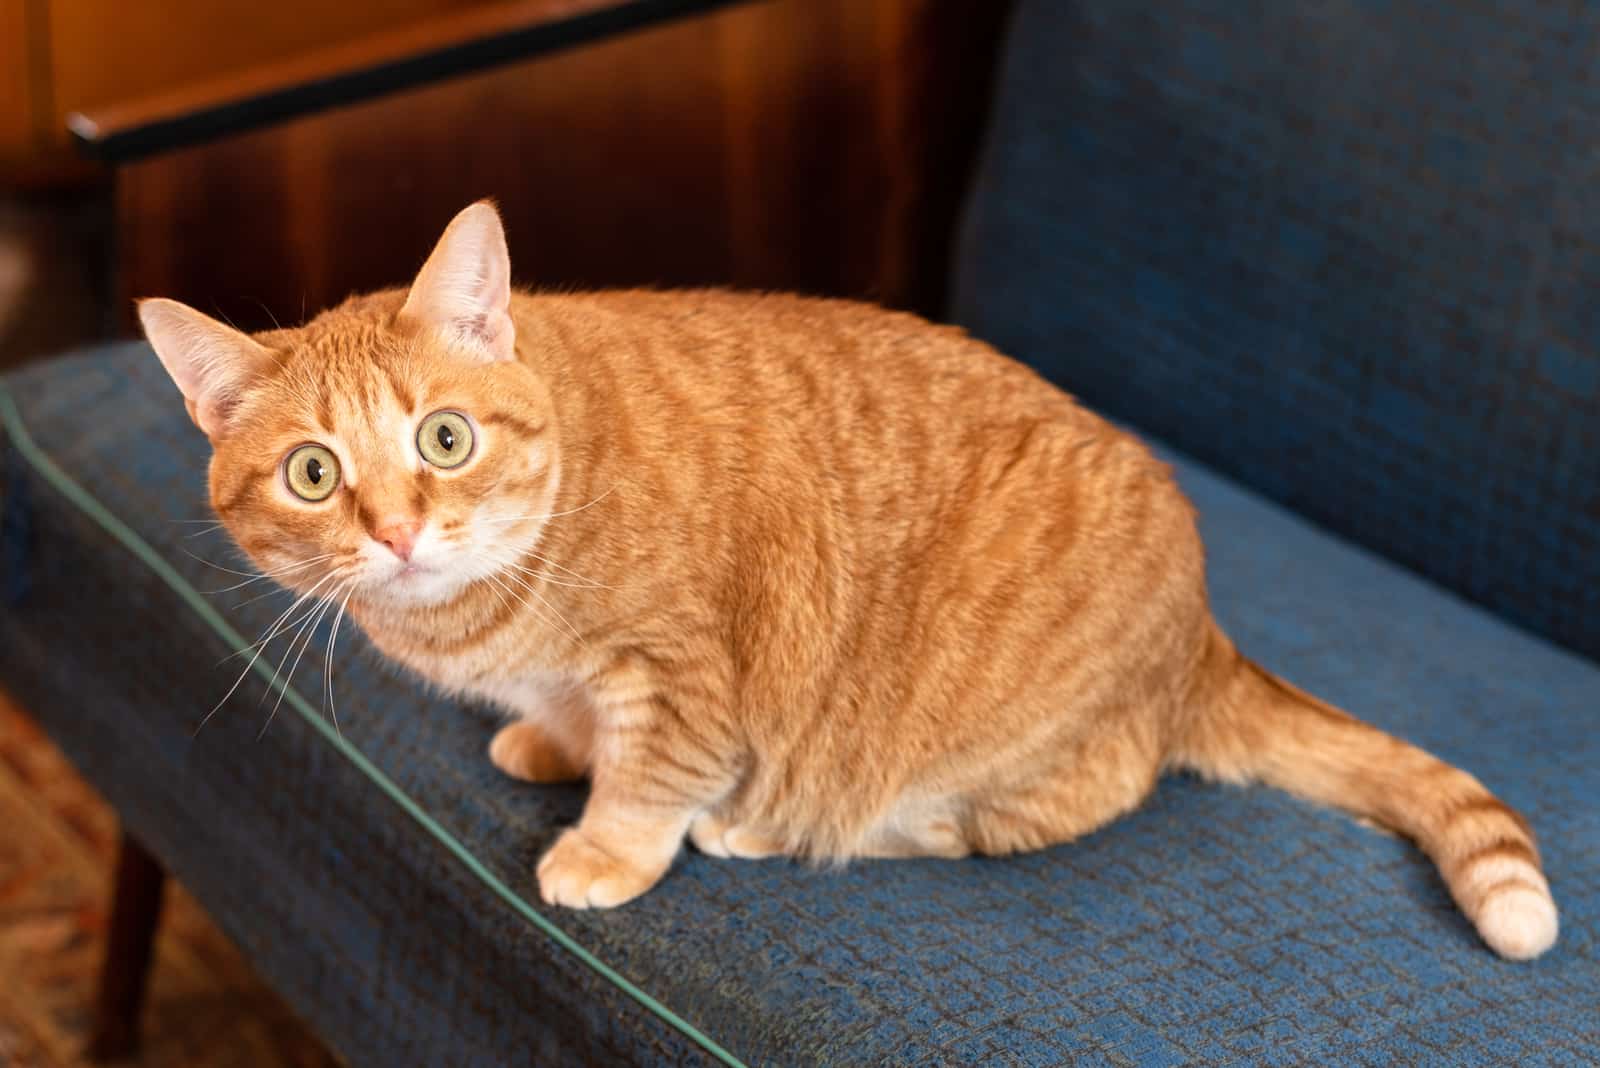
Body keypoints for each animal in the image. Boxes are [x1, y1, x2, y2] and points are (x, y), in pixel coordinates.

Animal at [140, 199, 1561, 959]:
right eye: (314, 474)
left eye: (444, 439)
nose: (395, 532)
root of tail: (1204, 632)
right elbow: (570, 724)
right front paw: (548, 744)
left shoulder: (683, 676)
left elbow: (649, 779)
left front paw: (605, 843)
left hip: (985, 756)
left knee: (996, 815)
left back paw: (775, 825)